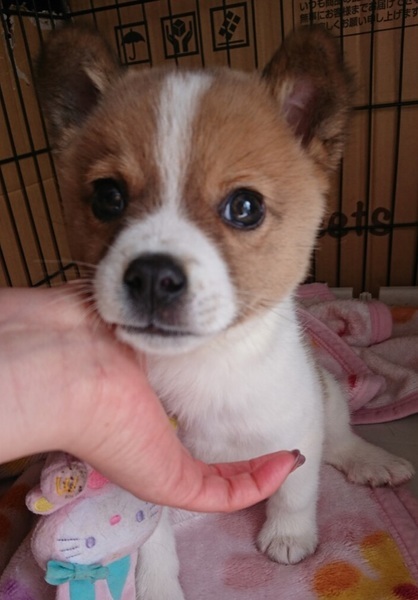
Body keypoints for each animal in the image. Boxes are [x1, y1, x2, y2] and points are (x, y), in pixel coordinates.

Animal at [37, 25, 414, 599]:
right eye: (107, 196)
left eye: (245, 206)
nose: (153, 275)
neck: (200, 366)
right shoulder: (147, 479)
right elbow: (153, 543)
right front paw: (155, 587)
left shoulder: (296, 427)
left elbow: (296, 489)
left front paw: (289, 536)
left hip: (325, 391)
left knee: (341, 438)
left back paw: (371, 461)